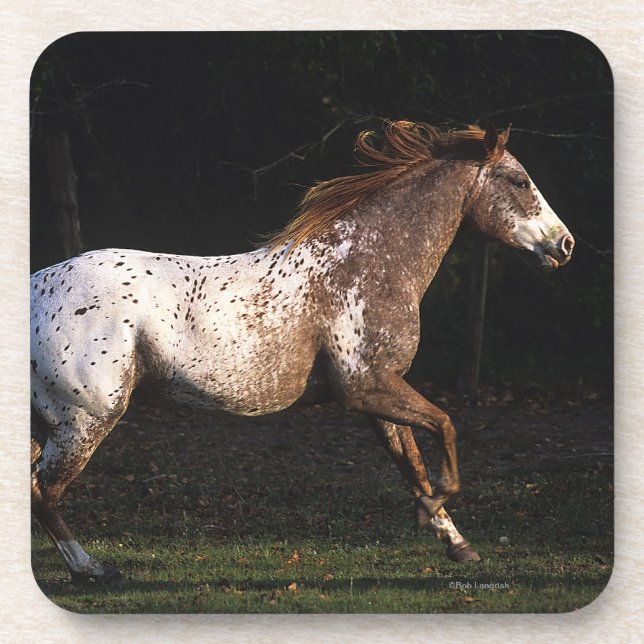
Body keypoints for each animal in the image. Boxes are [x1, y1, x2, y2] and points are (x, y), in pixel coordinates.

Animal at [31, 121, 574, 583]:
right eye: (520, 181)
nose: (565, 245)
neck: (369, 262)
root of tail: (37, 289)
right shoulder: (366, 387)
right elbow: (445, 427)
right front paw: (433, 518)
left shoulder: (380, 395)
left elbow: (414, 465)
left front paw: (455, 541)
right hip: (86, 421)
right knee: (44, 492)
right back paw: (92, 570)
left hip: (51, 424)